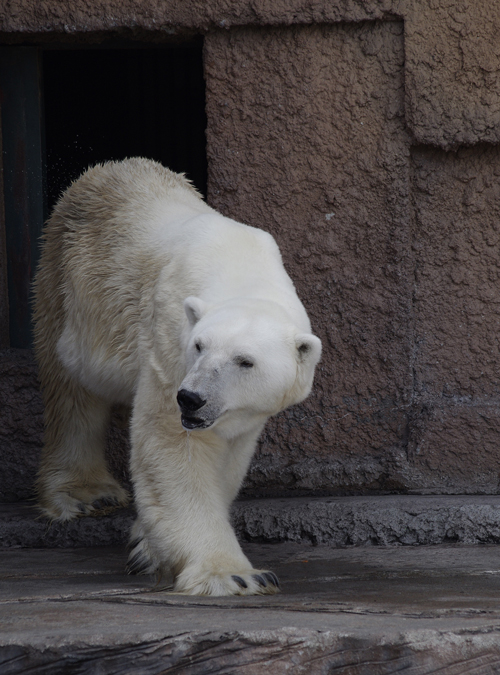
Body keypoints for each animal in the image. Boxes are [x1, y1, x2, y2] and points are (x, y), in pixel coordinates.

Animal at [36, 160, 324, 596]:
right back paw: (86, 493)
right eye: (199, 345)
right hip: (69, 283)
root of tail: (108, 169)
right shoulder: (170, 340)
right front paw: (235, 575)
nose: (192, 398)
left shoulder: (240, 414)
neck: (242, 270)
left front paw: (148, 547)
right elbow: (174, 446)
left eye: (245, 361)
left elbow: (227, 459)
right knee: (71, 387)